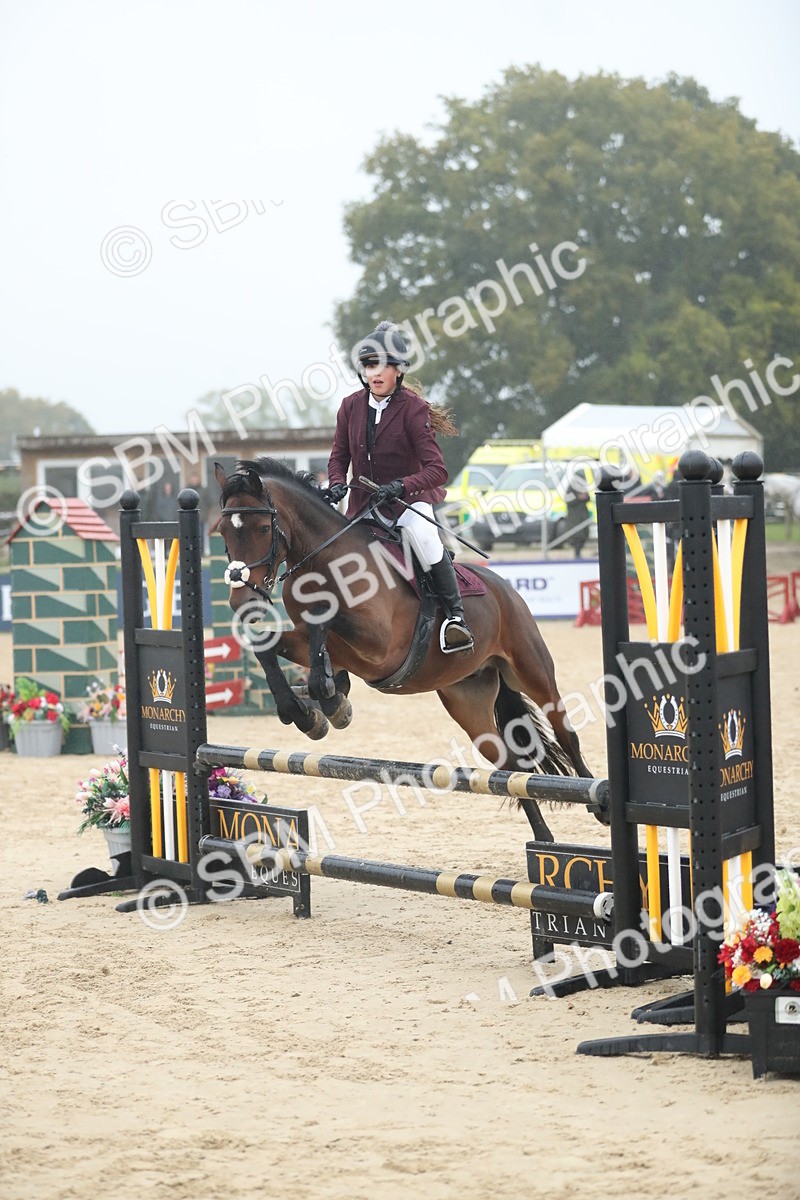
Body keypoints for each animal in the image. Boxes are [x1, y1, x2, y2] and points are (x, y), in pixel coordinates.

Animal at [214, 458, 593, 841]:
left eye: (263, 528)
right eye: (223, 532)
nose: (242, 602)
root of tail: (505, 588)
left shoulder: (378, 643)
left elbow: (324, 619)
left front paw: (332, 703)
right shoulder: (315, 643)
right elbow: (267, 648)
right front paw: (308, 713)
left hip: (531, 670)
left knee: (566, 732)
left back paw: (596, 801)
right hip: (469, 699)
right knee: (508, 766)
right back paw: (543, 837)